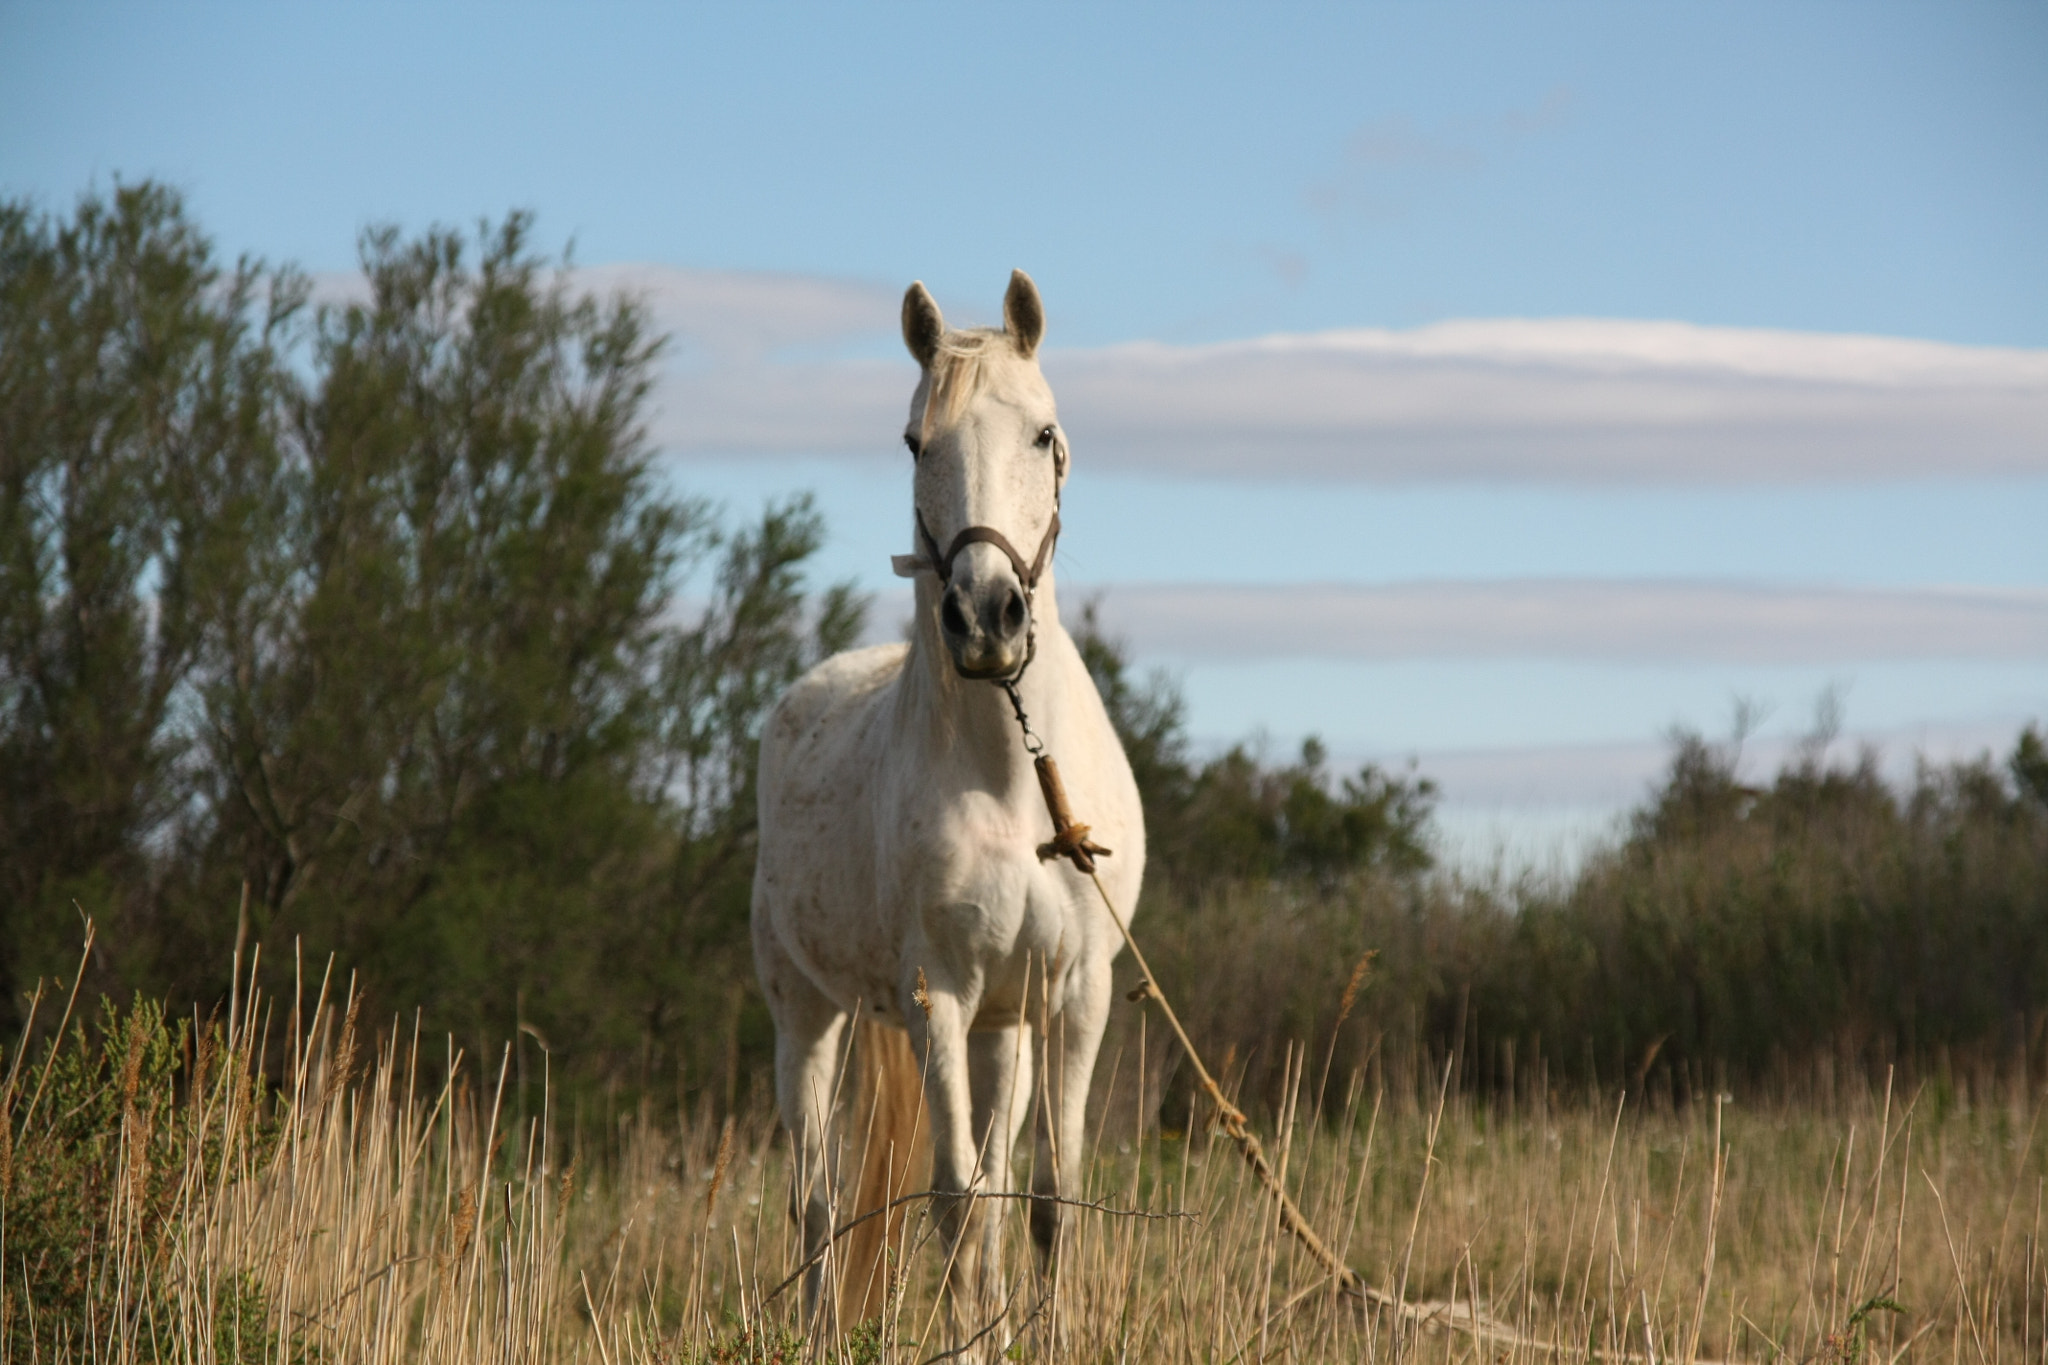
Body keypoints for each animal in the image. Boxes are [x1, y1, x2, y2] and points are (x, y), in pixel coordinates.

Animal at [750, 270, 1145, 1351]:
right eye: (914, 442)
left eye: (1044, 435)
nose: (984, 618)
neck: (1011, 778)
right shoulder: (939, 998)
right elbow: (956, 1205)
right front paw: (972, 1346)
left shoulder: (1072, 998)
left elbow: (1043, 1203)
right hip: (805, 1015)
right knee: (815, 1199)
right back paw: (816, 1337)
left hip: (1006, 1028)